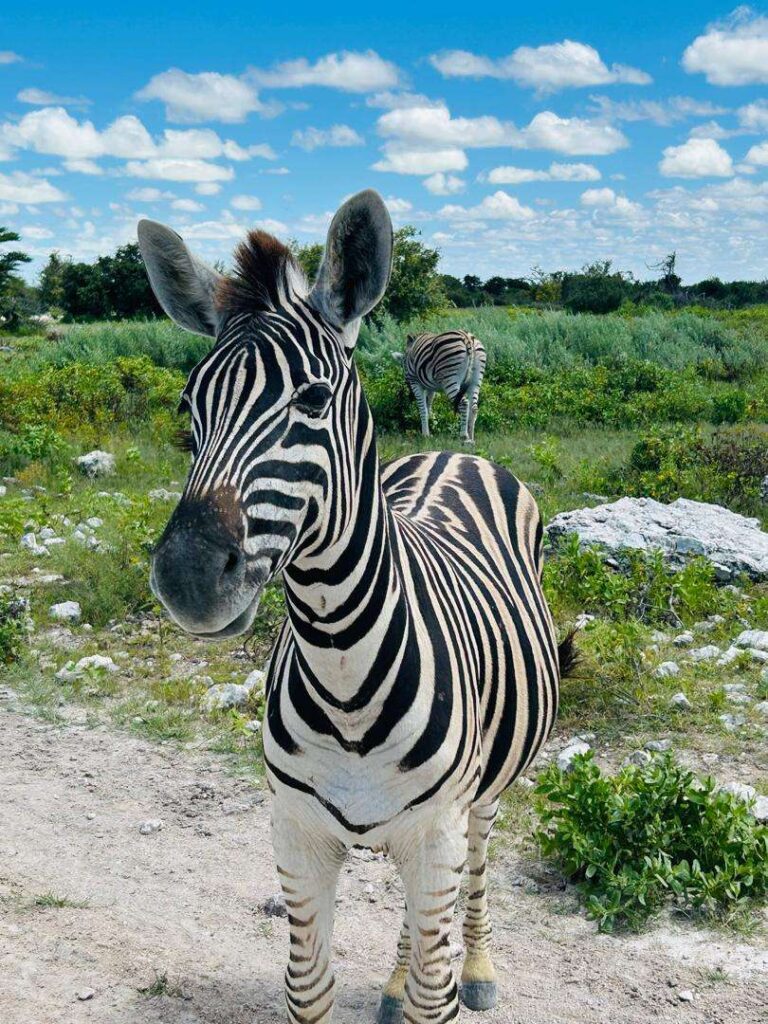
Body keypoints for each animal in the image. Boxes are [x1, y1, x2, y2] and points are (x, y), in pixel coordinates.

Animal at [138, 190, 567, 1024]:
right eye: (186, 404)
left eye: (312, 398)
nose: (188, 578)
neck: (344, 673)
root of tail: (454, 454)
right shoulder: (296, 835)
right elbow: (309, 988)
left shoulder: (437, 833)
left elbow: (438, 993)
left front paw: (447, 981)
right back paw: (394, 984)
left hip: (483, 798)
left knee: (475, 874)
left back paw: (479, 965)